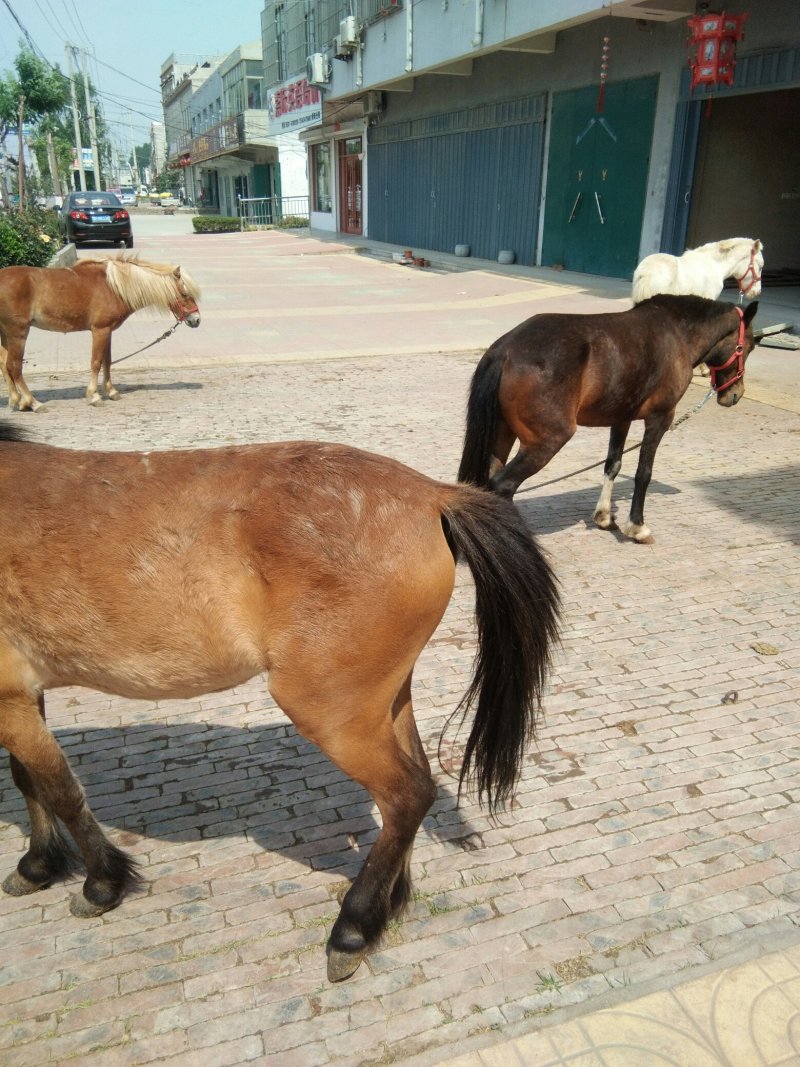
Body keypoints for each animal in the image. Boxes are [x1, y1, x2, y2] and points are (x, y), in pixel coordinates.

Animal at [0, 255, 201, 411]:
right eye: (185, 294)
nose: (196, 320)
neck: (113, 286)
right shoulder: (100, 330)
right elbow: (96, 362)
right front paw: (94, 396)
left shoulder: (108, 331)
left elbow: (107, 361)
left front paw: (111, 392)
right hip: (18, 332)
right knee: (14, 366)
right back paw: (33, 403)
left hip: (5, 333)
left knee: (4, 365)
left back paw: (16, 401)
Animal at [0, 425, 559, 982]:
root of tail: (432, 494)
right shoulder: (20, 696)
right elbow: (29, 780)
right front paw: (38, 864)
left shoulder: (11, 698)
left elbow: (60, 789)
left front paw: (100, 883)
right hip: (385, 701)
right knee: (414, 785)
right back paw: (389, 901)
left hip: (331, 713)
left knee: (407, 796)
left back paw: (353, 929)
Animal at [457, 295, 759, 543]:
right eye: (749, 347)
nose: (735, 393)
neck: (677, 332)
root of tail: (506, 350)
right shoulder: (660, 418)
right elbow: (643, 473)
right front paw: (637, 527)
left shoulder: (621, 417)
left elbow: (612, 464)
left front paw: (603, 517)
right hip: (547, 441)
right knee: (503, 484)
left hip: (502, 434)